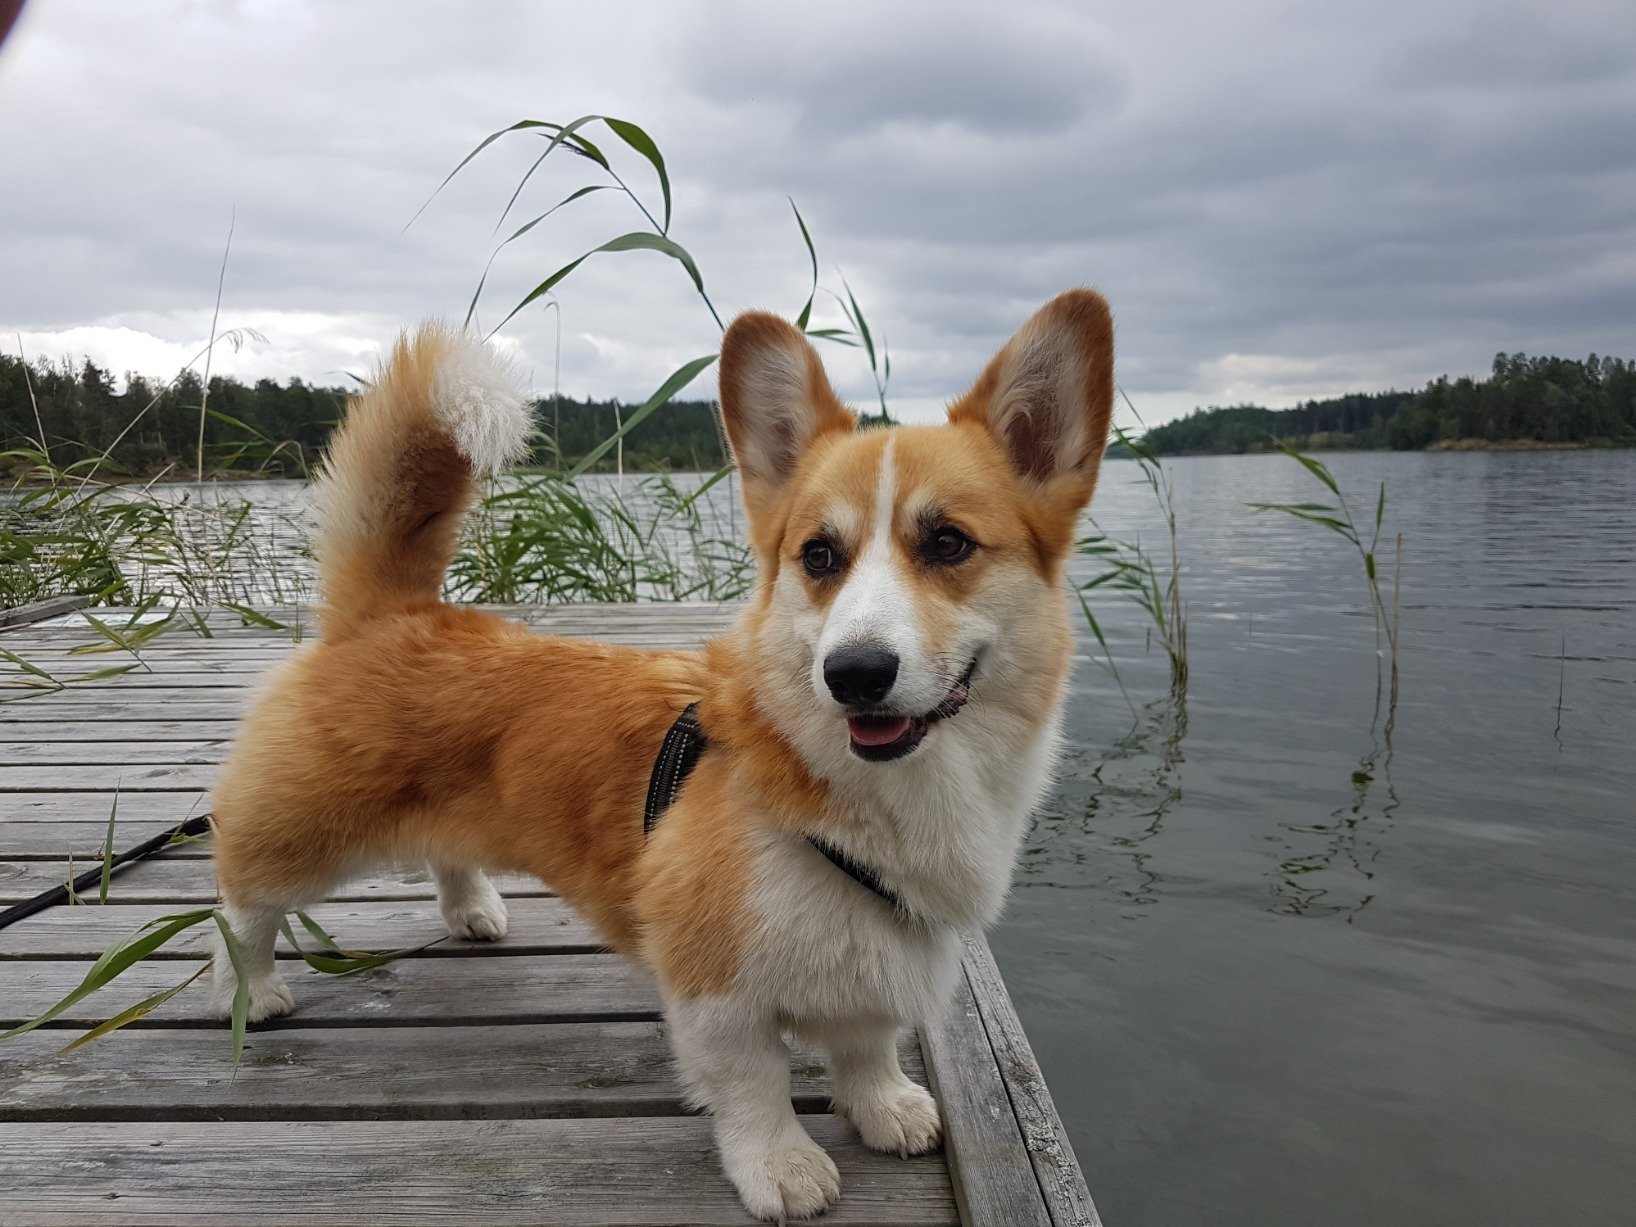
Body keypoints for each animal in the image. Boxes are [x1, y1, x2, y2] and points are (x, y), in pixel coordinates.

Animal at [207, 287, 1112, 1223]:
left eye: (948, 544)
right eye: (819, 555)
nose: (854, 673)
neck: (873, 788)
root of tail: (391, 611)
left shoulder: (880, 956)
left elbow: (867, 1044)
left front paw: (886, 1105)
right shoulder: (713, 984)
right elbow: (755, 1083)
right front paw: (781, 1165)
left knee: (444, 852)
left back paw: (472, 909)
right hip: (302, 831)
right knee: (241, 900)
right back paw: (254, 990)